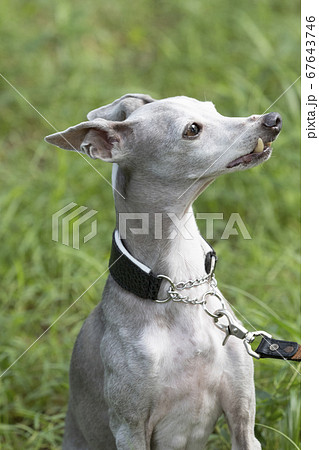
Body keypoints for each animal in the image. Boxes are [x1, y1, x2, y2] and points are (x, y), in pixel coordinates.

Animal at [45, 93, 282, 448]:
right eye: (192, 129)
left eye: (212, 108)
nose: (272, 120)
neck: (179, 288)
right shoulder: (129, 427)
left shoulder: (242, 416)